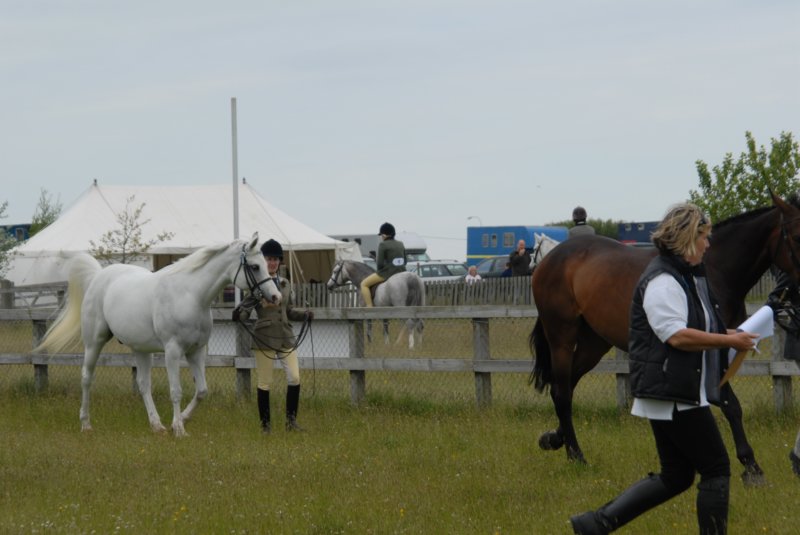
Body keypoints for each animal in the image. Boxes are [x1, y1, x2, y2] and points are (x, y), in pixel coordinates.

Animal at [35, 233, 282, 436]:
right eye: (255, 266)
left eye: (266, 264)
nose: (275, 296)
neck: (190, 295)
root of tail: (99, 276)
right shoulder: (172, 351)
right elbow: (176, 391)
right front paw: (179, 429)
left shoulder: (196, 352)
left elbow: (202, 390)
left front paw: (180, 420)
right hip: (94, 343)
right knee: (87, 378)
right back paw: (86, 424)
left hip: (141, 349)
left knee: (144, 384)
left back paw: (156, 425)